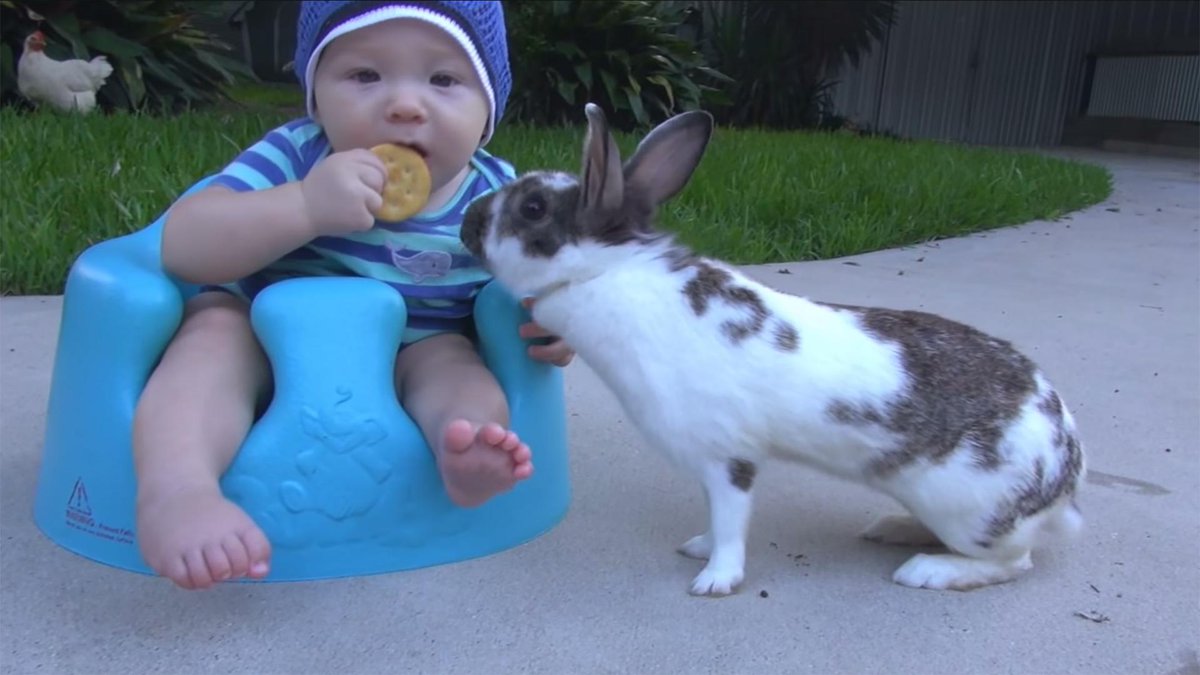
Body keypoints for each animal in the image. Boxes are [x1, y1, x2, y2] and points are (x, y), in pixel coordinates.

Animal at [460, 103, 1085, 596]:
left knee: (1014, 562)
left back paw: (928, 570)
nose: (467, 222)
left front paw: (714, 579)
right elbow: (715, 518)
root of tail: (1066, 471)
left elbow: (732, 520)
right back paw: (891, 527)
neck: (604, 272)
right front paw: (698, 545)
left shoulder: (727, 458)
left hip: (968, 511)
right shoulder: (709, 462)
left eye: (533, 208)